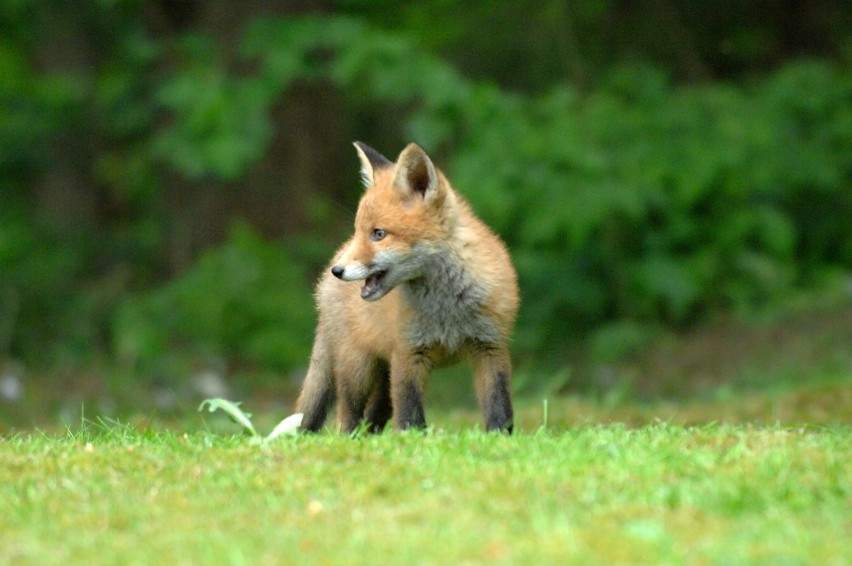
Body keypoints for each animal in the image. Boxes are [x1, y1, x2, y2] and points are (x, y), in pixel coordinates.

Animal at [296, 142, 516, 434]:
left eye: (378, 234)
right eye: (359, 231)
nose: (338, 271)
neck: (446, 308)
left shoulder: (491, 346)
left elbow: (499, 406)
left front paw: (500, 438)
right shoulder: (408, 352)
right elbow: (409, 411)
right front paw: (412, 440)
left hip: (381, 376)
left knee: (372, 417)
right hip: (358, 367)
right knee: (347, 415)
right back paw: (350, 438)